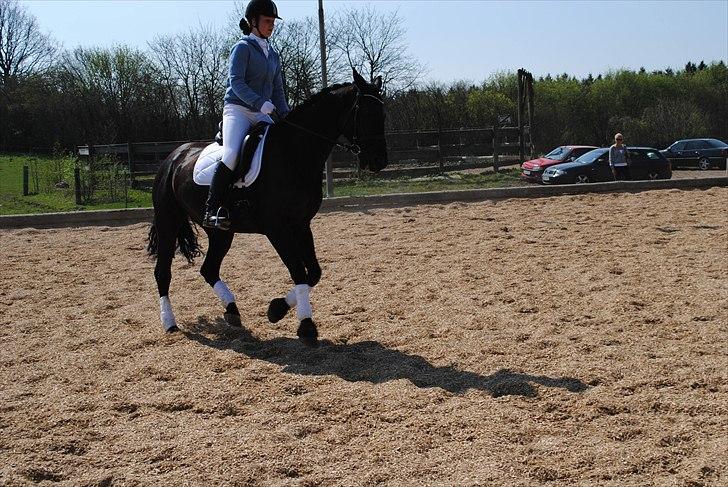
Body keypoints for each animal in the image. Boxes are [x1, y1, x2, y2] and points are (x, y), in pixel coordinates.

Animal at [145, 70, 390, 348]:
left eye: (382, 114)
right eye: (366, 114)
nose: (379, 161)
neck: (294, 152)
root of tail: (174, 156)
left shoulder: (301, 224)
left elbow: (313, 272)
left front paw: (277, 309)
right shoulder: (277, 229)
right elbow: (299, 271)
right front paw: (306, 325)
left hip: (221, 233)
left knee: (209, 269)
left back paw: (232, 311)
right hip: (168, 221)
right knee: (162, 272)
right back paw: (170, 323)